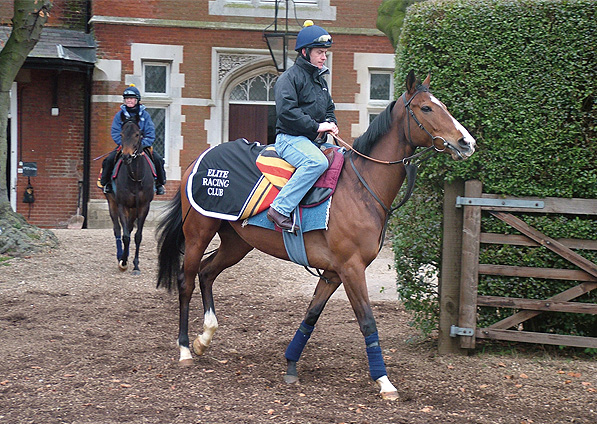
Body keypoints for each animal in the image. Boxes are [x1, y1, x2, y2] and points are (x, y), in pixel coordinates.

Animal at [106, 116, 155, 274]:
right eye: (121, 135)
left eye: (137, 134)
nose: (126, 156)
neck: (135, 177)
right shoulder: (122, 205)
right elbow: (125, 236)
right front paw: (123, 262)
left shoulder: (144, 206)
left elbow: (137, 236)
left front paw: (136, 265)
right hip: (113, 204)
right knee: (117, 229)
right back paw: (120, 255)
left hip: (134, 209)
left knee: (129, 228)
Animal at [156, 71, 478, 400]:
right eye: (426, 108)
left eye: (443, 105)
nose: (466, 142)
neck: (361, 186)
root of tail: (198, 161)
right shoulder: (351, 268)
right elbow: (367, 322)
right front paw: (384, 381)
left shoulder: (333, 273)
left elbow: (311, 316)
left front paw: (290, 364)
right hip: (198, 234)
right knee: (187, 281)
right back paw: (185, 349)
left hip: (237, 243)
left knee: (207, 273)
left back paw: (204, 337)